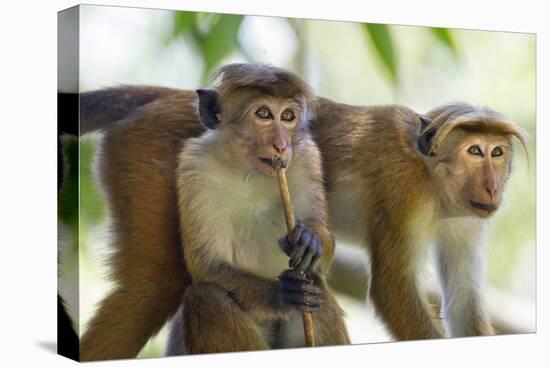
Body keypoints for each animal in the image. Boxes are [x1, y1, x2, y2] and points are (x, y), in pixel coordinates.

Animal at [76, 64, 350, 362]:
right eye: (263, 114)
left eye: (288, 117)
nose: (281, 145)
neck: (248, 170)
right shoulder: (195, 165)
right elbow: (207, 264)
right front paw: (282, 294)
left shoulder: (306, 157)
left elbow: (320, 244)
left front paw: (311, 241)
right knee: (199, 296)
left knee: (316, 288)